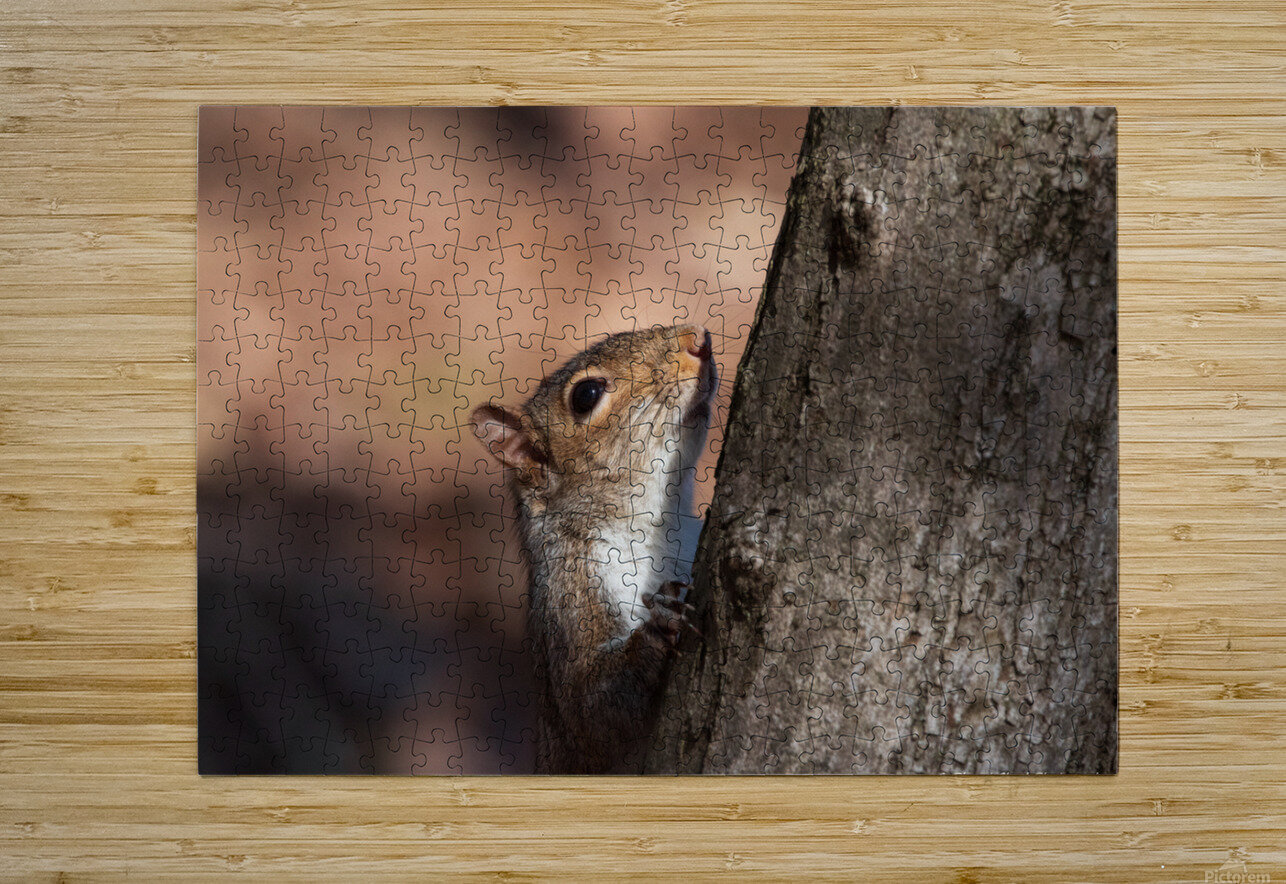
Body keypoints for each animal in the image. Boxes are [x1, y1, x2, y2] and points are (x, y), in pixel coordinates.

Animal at [470, 323, 718, 773]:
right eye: (586, 395)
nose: (698, 340)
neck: (661, 526)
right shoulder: (569, 594)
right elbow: (591, 711)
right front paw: (661, 622)